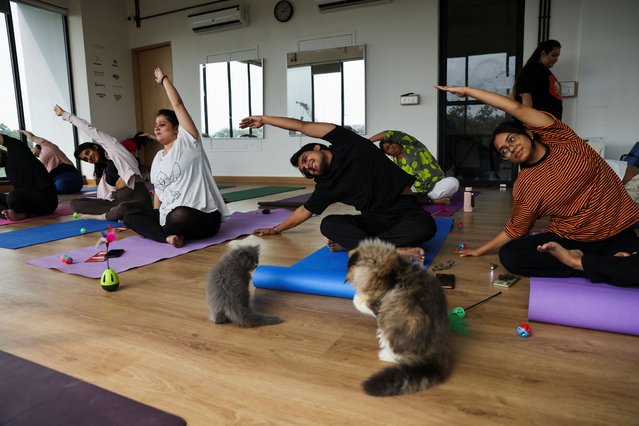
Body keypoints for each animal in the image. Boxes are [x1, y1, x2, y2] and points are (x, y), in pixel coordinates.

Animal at [348, 240, 452, 396]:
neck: (395, 270)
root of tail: (435, 350)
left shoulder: (376, 305)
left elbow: (363, 303)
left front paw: (357, 297)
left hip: (388, 327)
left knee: (397, 356)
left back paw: (384, 354)